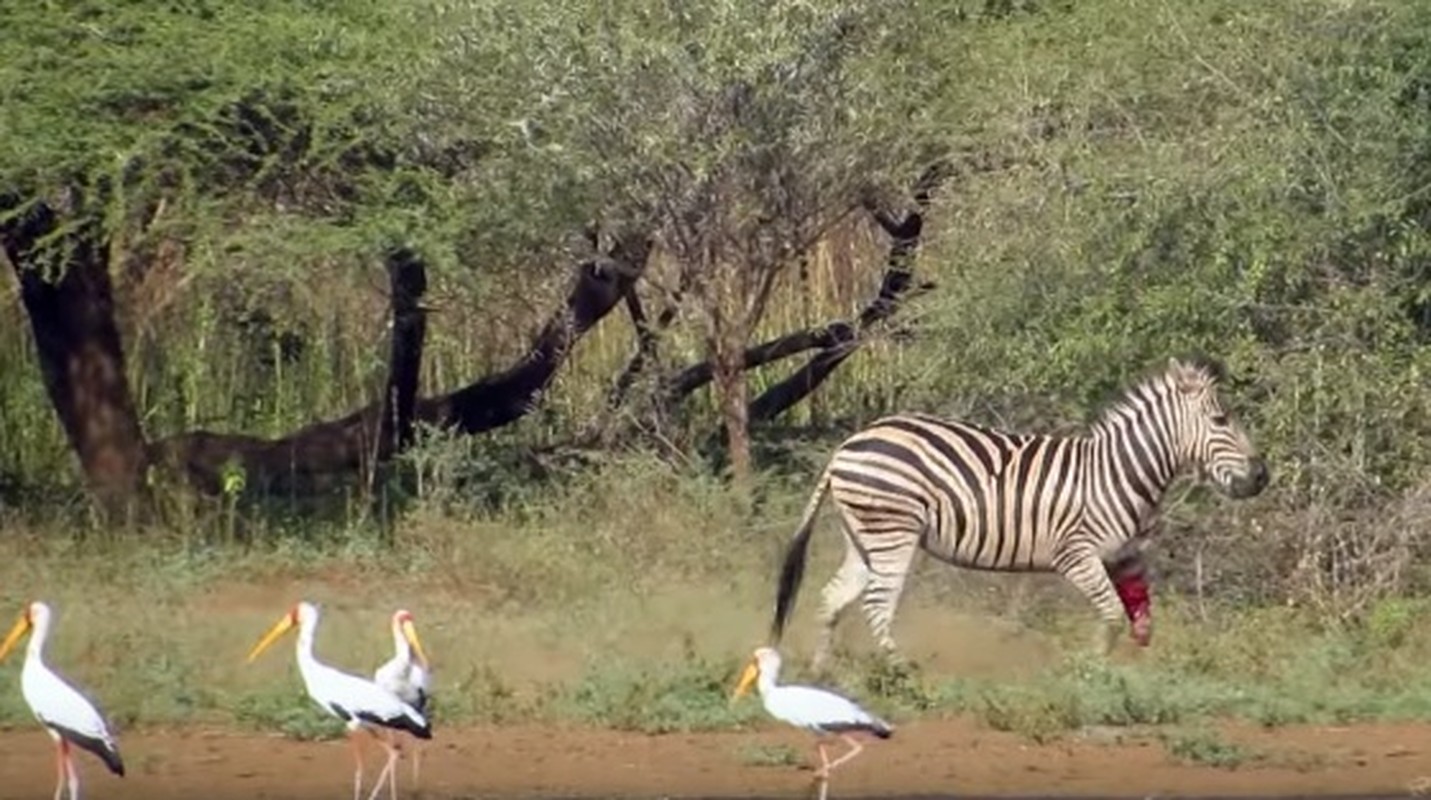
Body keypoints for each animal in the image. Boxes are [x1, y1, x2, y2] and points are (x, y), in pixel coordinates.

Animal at [767, 354, 1270, 669]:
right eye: (1222, 420)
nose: (1262, 477)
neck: (1118, 471)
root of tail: (847, 445)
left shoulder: (1125, 555)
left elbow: (1142, 619)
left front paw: (1138, 669)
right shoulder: (1077, 556)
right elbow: (1111, 614)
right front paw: (1091, 669)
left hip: (863, 536)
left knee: (833, 597)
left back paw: (822, 673)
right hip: (893, 531)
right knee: (875, 601)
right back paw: (901, 668)